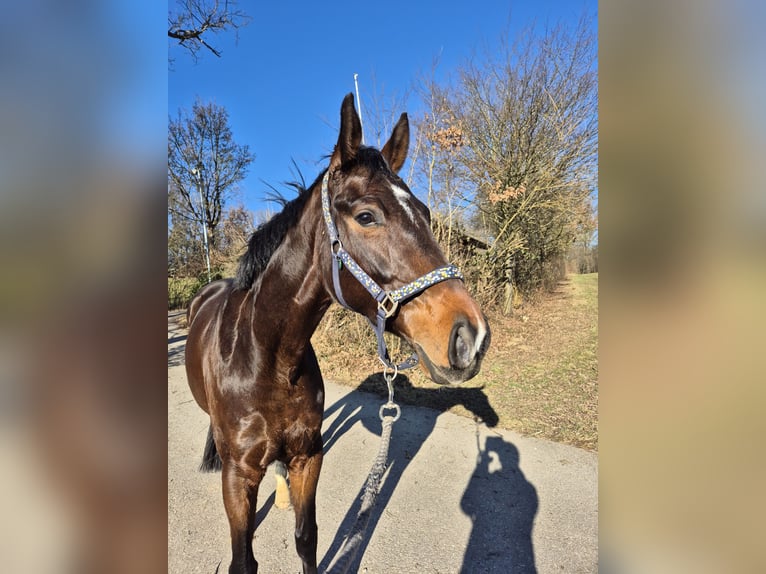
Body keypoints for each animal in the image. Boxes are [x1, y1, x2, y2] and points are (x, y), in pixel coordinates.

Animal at [186, 94, 492, 574]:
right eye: (366, 216)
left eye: (425, 213)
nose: (470, 337)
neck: (267, 358)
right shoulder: (238, 476)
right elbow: (244, 559)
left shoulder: (309, 456)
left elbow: (306, 537)